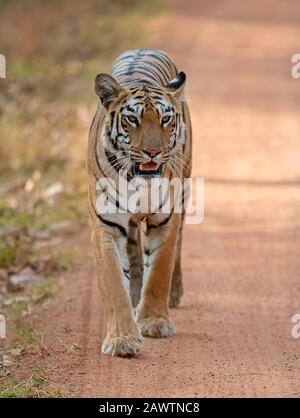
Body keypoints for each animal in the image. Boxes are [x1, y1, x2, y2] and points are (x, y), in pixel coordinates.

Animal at [86, 49, 192, 356]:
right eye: (132, 120)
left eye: (165, 119)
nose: (152, 152)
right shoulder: (106, 227)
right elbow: (113, 284)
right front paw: (122, 339)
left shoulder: (167, 219)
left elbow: (159, 272)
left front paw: (155, 322)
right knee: (133, 254)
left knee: (178, 249)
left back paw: (174, 293)